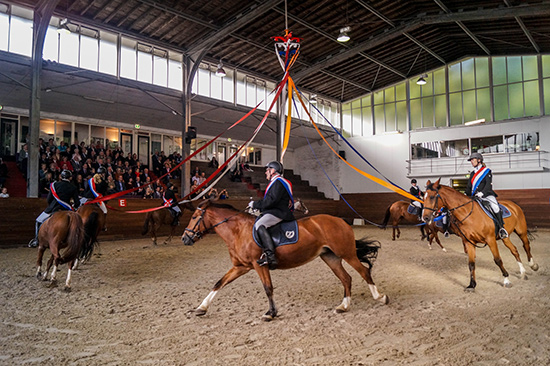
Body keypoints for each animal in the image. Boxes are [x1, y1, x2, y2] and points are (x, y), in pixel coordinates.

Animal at [181, 199, 388, 322]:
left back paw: (380, 297)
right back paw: (343, 306)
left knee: (364, 272)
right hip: (331, 257)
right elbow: (219, 283)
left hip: (347, 254)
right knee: (346, 278)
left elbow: (268, 288)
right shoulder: (241, 266)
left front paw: (270, 314)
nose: (185, 238)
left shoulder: (259, 265)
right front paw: (201, 308)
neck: (239, 231)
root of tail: (341, 221)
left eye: (194, 217)